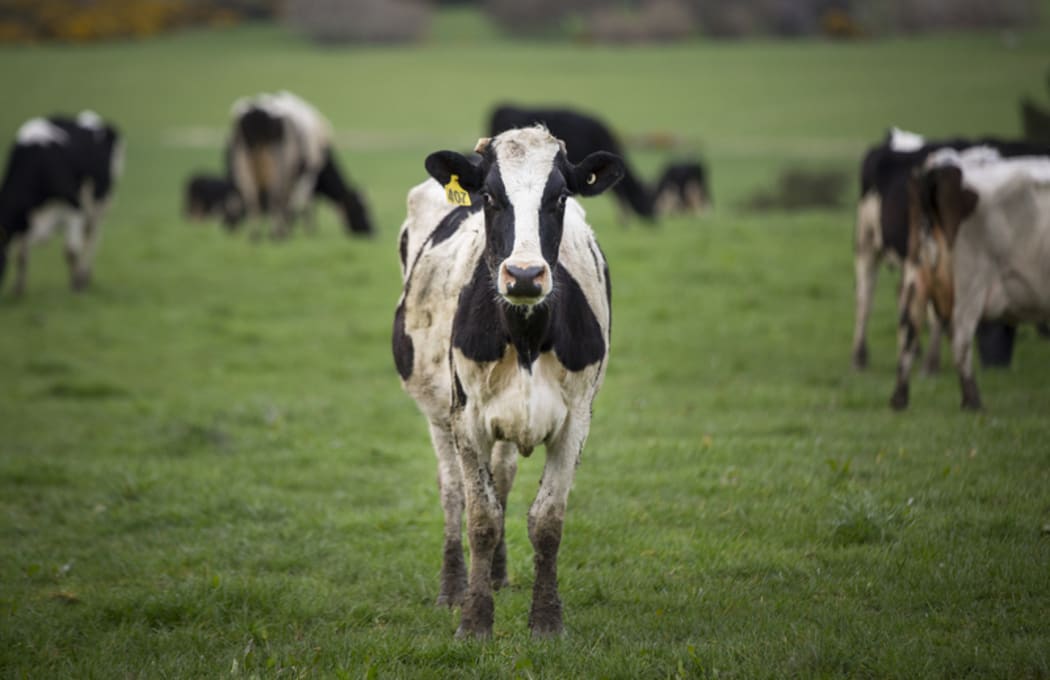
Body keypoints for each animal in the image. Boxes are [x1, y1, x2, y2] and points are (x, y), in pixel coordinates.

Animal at [0, 111, 123, 295]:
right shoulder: (23, 220)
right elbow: (21, 255)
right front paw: (18, 290)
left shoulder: (75, 207)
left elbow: (71, 251)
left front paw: (76, 286)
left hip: (99, 204)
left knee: (92, 238)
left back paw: (84, 275)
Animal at [227, 91, 372, 238]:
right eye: (361, 208)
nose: (373, 230)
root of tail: (257, 112)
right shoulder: (309, 173)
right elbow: (303, 202)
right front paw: (306, 230)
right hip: (278, 164)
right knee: (275, 197)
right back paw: (277, 234)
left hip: (243, 163)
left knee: (252, 198)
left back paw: (256, 235)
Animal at [392, 125, 623, 638]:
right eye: (491, 197)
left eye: (560, 197)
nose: (524, 274)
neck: (526, 338)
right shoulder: (467, 420)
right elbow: (481, 518)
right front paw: (474, 621)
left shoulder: (576, 420)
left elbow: (546, 521)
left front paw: (547, 621)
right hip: (438, 416)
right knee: (453, 492)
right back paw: (452, 588)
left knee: (501, 478)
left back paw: (497, 576)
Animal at [890, 154, 1050, 410]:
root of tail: (936, 172)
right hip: (970, 282)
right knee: (960, 339)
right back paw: (972, 402)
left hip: (917, 276)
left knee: (907, 330)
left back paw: (899, 399)